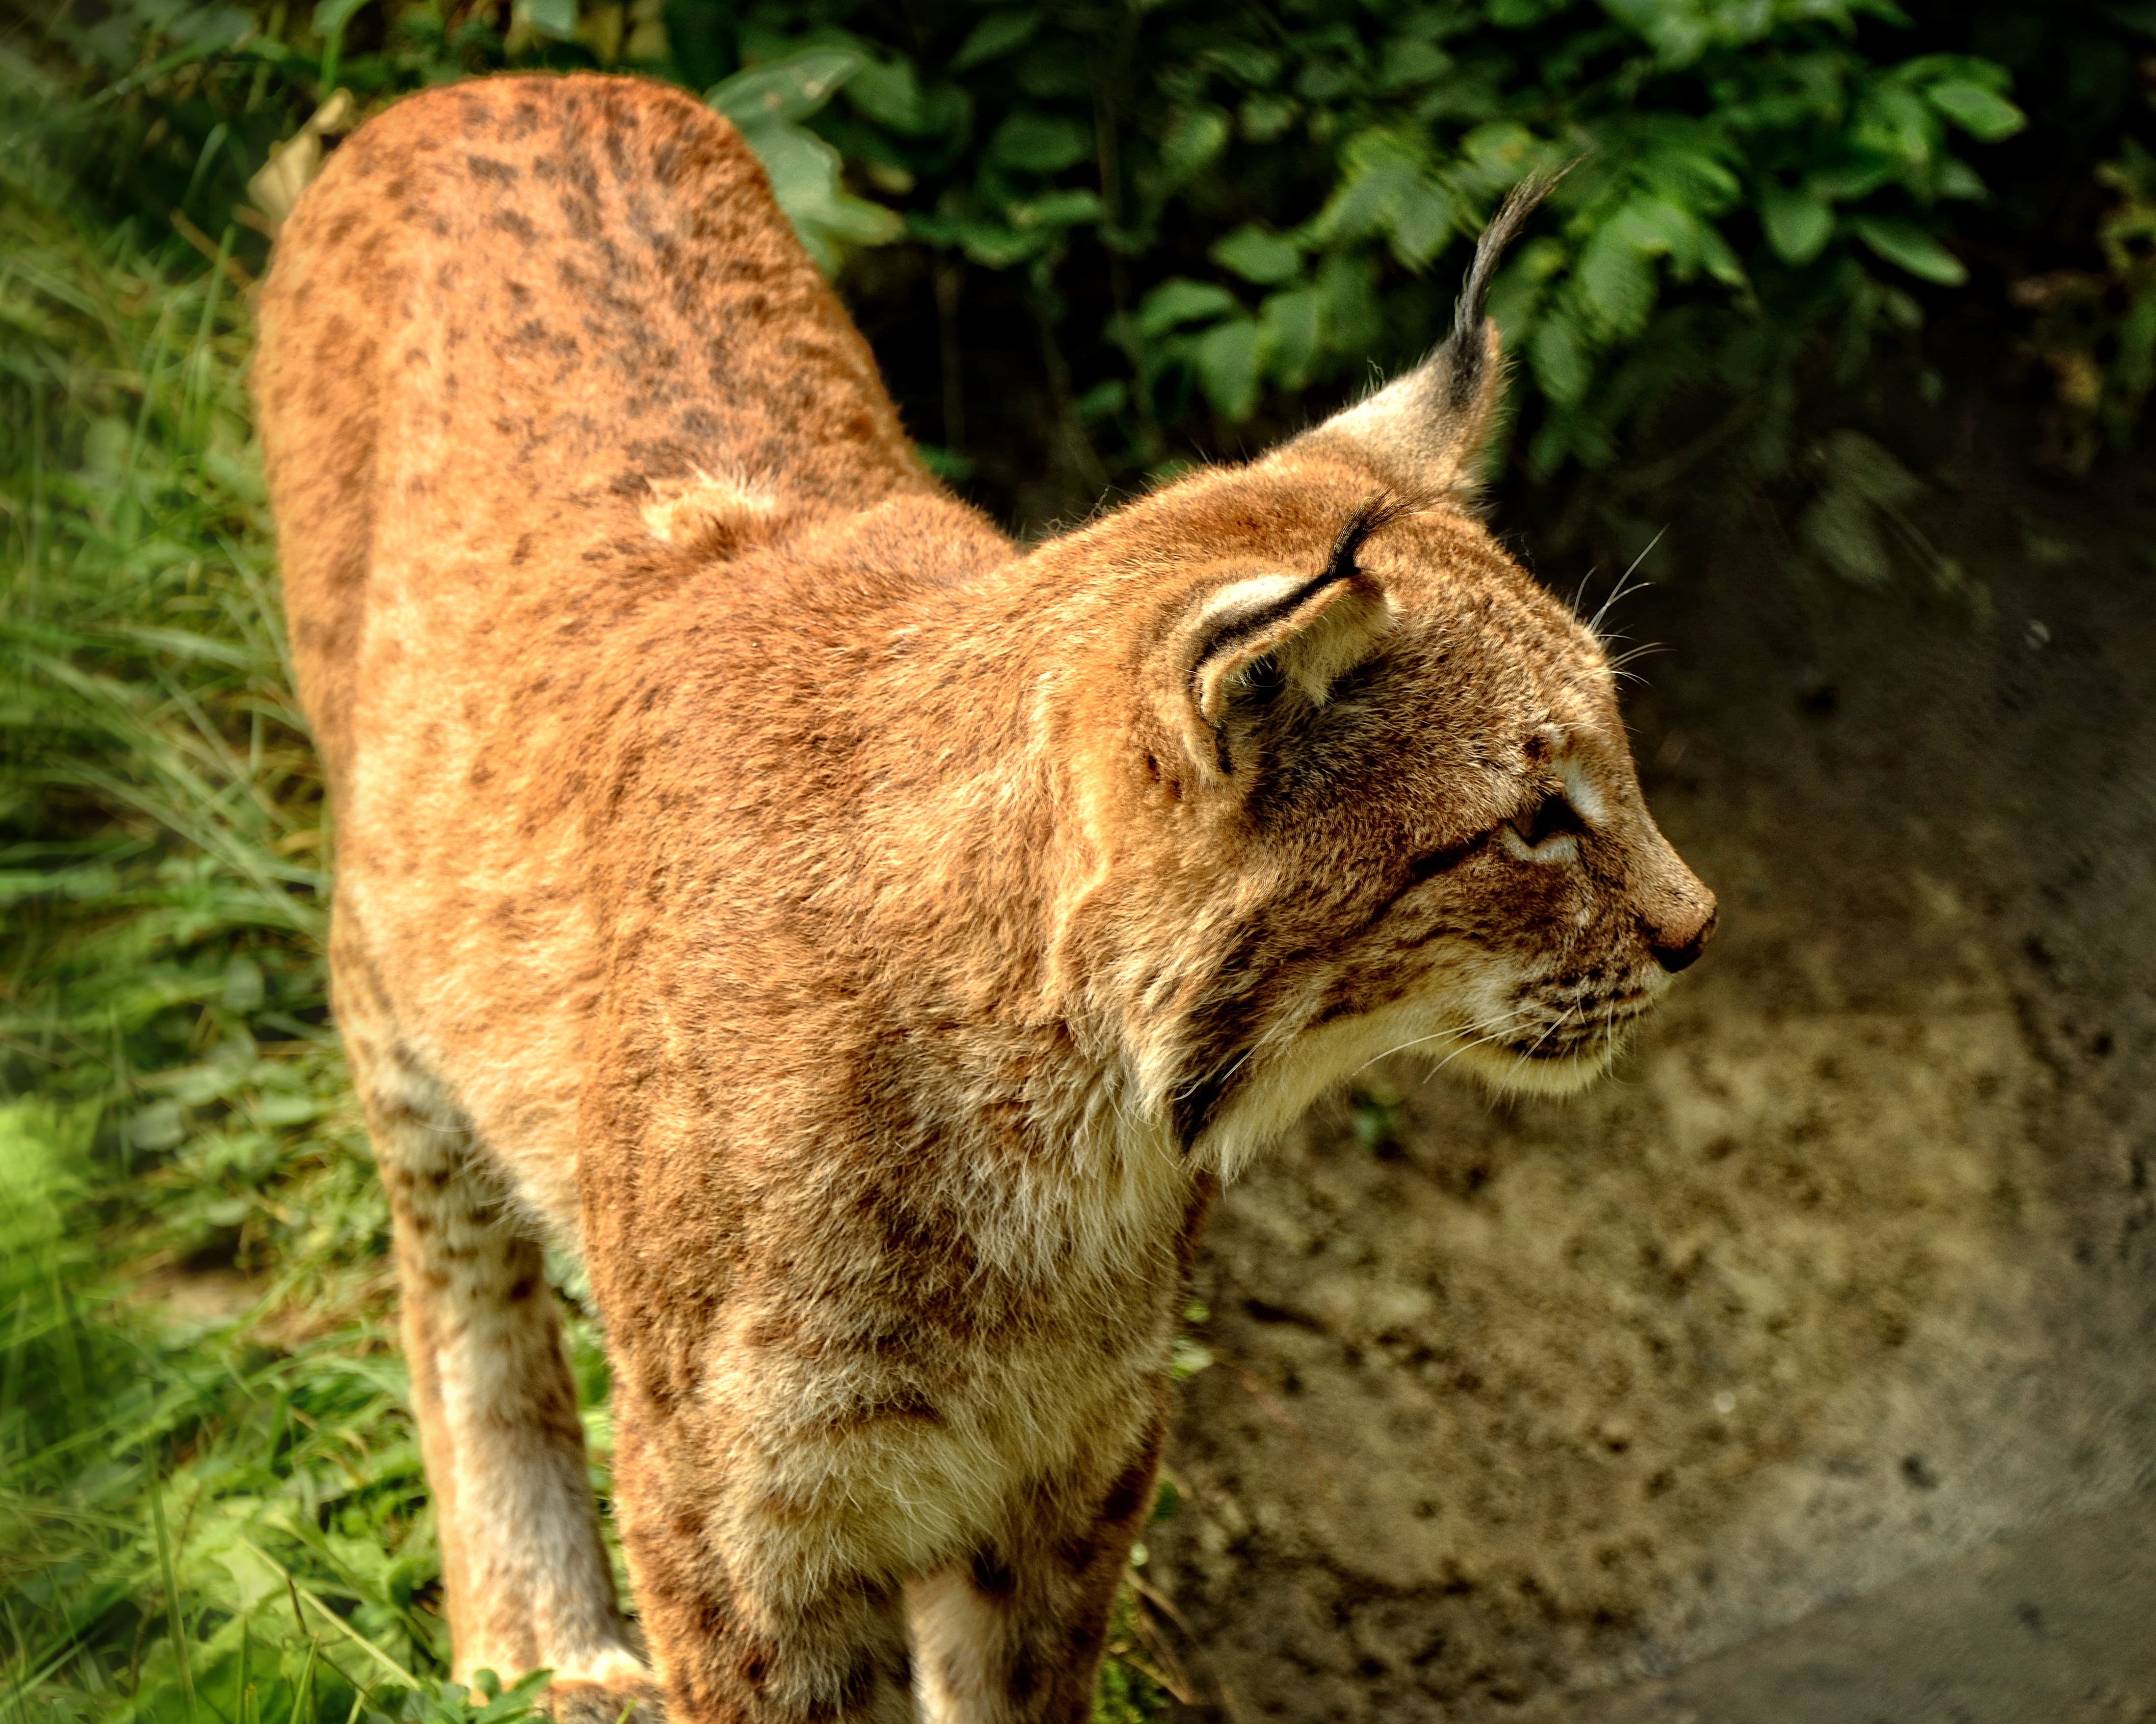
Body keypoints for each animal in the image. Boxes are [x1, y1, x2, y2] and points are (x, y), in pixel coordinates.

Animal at [252, 72, 1714, 1724]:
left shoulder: (1078, 1455)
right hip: (394, 978)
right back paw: (530, 1638)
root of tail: (485, 87)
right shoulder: (733, 1511)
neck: (1061, 1116)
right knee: (453, 1277)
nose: (1696, 928)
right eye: (1530, 822)